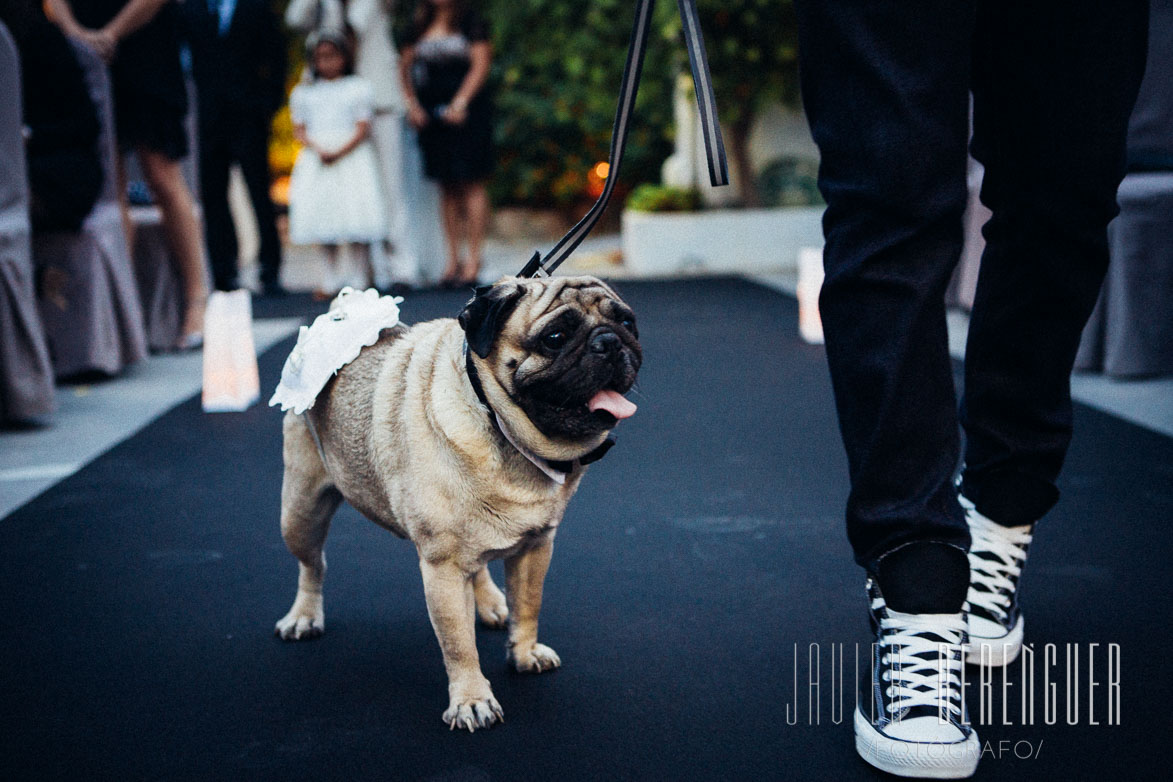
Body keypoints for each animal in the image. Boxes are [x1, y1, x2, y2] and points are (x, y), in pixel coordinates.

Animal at [274, 276, 642, 736]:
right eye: (555, 337)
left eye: (628, 323)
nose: (610, 340)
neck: (500, 426)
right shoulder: (443, 569)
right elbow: (458, 643)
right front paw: (471, 700)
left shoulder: (536, 547)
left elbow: (529, 606)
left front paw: (524, 653)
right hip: (301, 511)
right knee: (312, 564)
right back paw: (304, 616)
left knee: (481, 566)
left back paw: (490, 603)